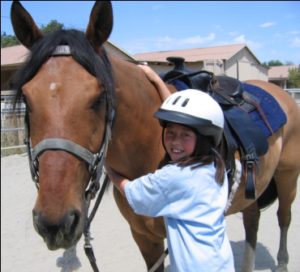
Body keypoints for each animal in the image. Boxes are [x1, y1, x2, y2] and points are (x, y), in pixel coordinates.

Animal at [11, 0, 300, 272]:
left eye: (99, 98)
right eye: (26, 97)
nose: (54, 223)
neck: (149, 148)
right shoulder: (144, 236)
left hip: (287, 176)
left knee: (283, 217)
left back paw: (282, 262)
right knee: (252, 220)